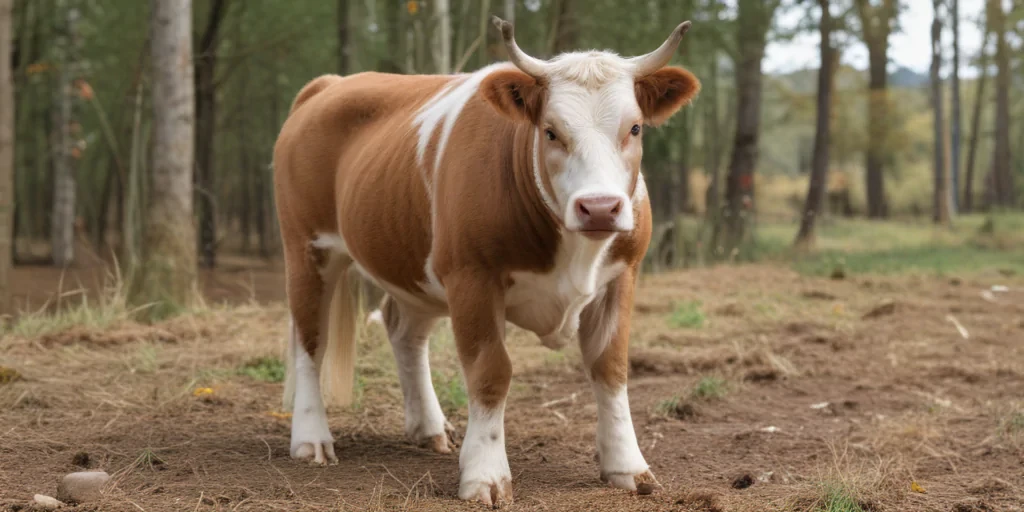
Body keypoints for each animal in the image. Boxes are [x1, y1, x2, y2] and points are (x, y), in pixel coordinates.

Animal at [272, 17, 700, 507]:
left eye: (634, 129)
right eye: (550, 131)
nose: (599, 208)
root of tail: (330, 84)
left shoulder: (621, 276)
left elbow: (610, 368)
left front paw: (627, 466)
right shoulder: (471, 277)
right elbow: (490, 371)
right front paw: (485, 474)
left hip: (414, 265)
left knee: (403, 331)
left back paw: (428, 427)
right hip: (307, 248)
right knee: (311, 340)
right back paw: (311, 437)